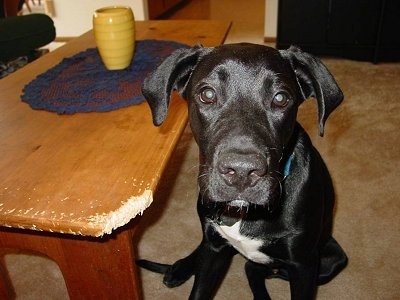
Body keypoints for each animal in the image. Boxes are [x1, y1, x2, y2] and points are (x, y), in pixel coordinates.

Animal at [139, 44, 348, 300]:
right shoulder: (213, 252)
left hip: (331, 259)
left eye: (281, 98)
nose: (241, 172)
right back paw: (180, 267)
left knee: (254, 268)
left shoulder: (304, 265)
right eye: (208, 94)